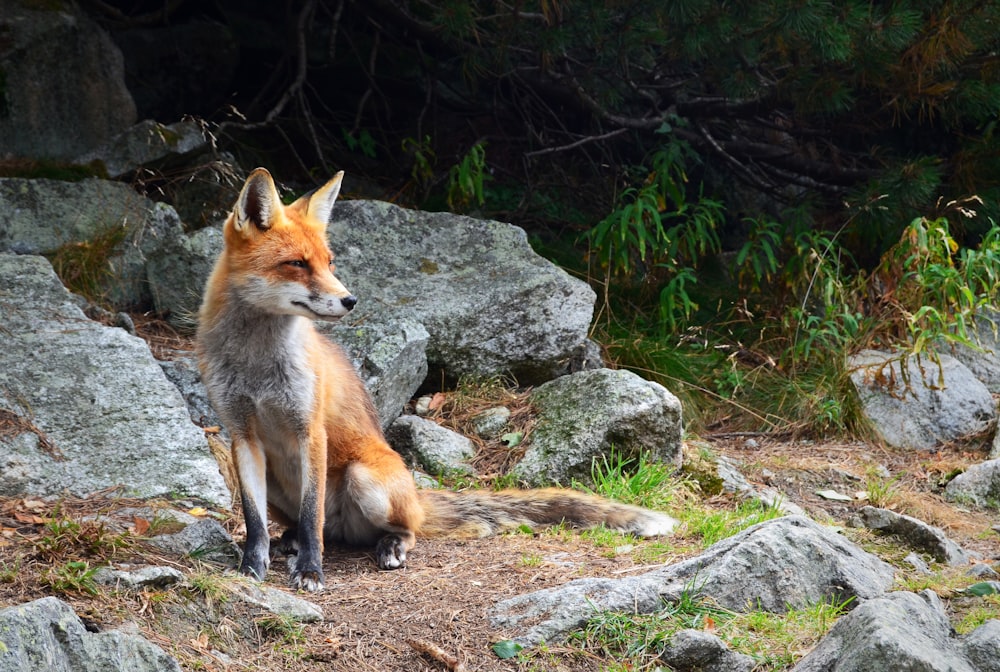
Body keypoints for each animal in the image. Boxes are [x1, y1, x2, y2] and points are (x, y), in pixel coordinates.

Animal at [195, 168, 680, 592]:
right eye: (296, 263)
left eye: (330, 263)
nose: (351, 300)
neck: (257, 366)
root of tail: (414, 495)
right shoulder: (242, 435)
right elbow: (254, 522)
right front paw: (251, 568)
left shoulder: (309, 430)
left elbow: (312, 514)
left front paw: (311, 572)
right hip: (278, 484)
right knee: (310, 526)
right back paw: (291, 541)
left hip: (364, 480)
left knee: (388, 529)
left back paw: (388, 546)